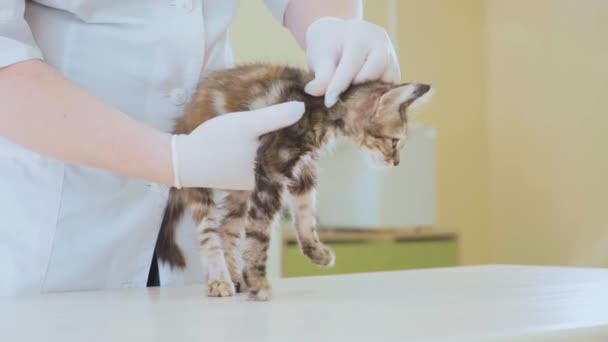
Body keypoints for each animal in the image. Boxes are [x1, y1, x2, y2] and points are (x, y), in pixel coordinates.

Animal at [157, 63, 432, 300]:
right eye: (395, 142)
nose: (396, 162)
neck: (320, 108)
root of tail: (183, 119)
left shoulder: (303, 171)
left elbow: (305, 213)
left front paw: (315, 251)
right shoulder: (271, 167)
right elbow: (258, 234)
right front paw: (258, 281)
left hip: (240, 191)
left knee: (227, 230)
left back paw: (235, 276)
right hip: (201, 179)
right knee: (209, 233)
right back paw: (219, 280)